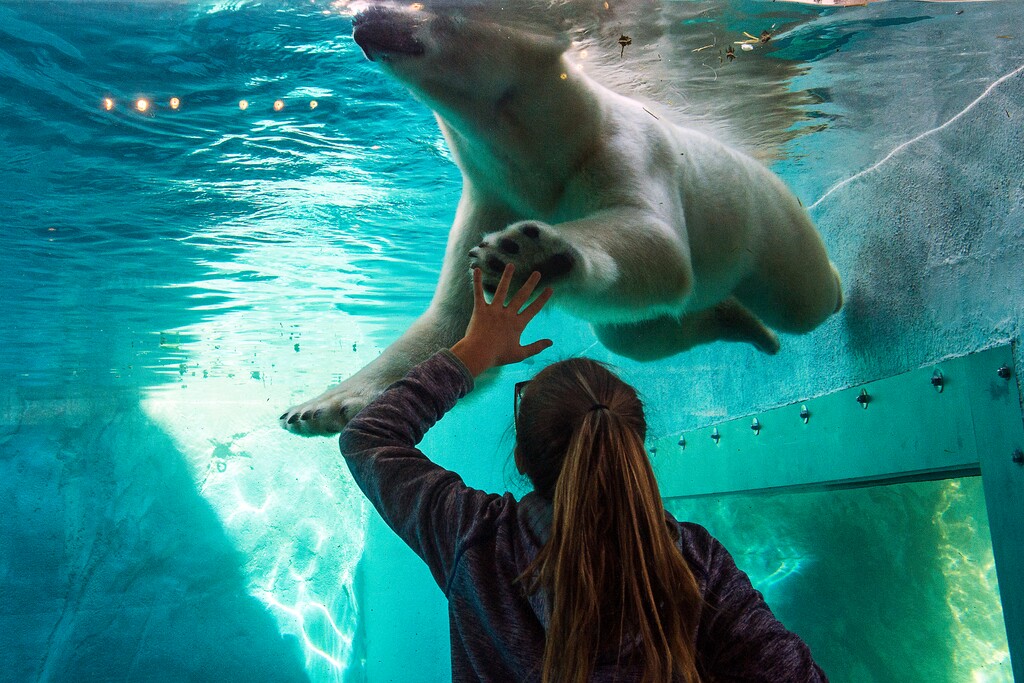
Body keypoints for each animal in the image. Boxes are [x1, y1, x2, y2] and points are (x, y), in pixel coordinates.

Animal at [280, 4, 842, 435]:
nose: (363, 16)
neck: (544, 151)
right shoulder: (494, 191)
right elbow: (454, 319)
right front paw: (321, 406)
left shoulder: (621, 147)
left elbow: (655, 240)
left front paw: (529, 253)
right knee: (638, 334)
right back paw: (743, 324)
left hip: (766, 220)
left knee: (804, 299)